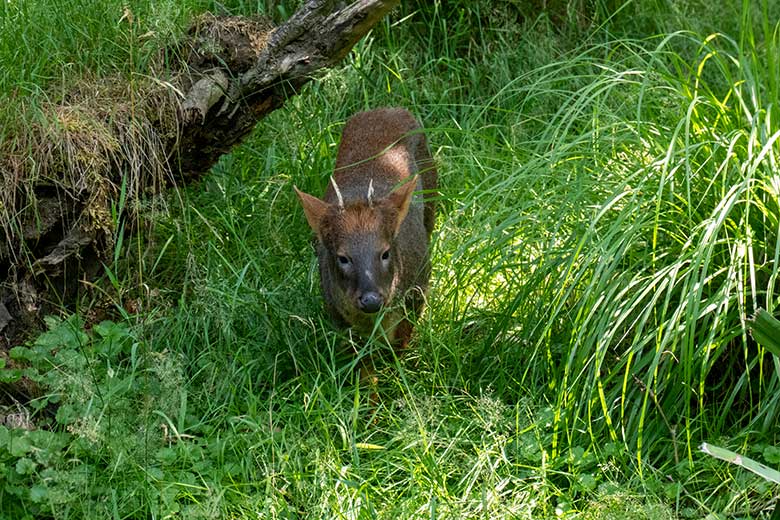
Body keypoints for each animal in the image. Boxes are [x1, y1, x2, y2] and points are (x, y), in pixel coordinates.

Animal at [294, 107, 436, 352]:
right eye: (343, 258)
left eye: (385, 252)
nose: (371, 300)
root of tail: (387, 108)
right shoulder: (334, 312)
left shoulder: (417, 289)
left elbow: (400, 344)